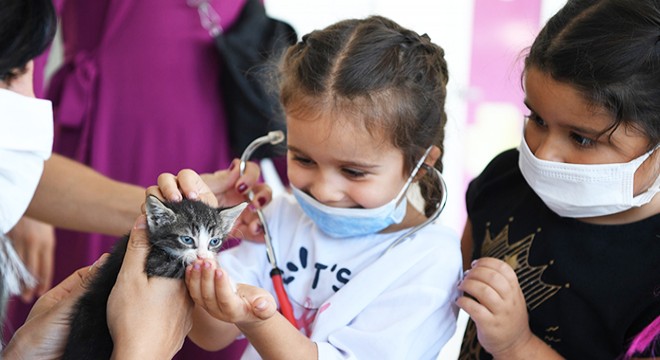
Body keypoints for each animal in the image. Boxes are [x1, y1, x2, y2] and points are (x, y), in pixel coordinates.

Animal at [62, 195, 246, 358]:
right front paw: (228, 282)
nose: (202, 256)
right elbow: (180, 264)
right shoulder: (154, 262)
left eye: (214, 241)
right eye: (187, 239)